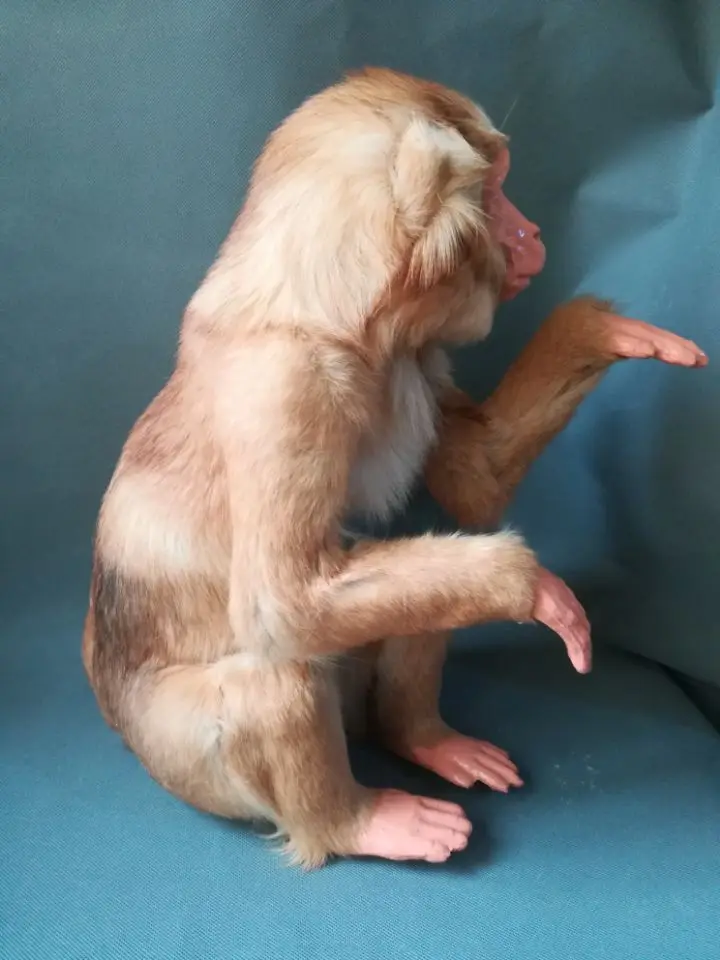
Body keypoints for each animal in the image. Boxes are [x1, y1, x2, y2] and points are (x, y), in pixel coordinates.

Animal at [82, 67, 707, 869]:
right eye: (495, 191)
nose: (533, 233)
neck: (342, 326)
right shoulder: (283, 388)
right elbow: (282, 605)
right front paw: (537, 587)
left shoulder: (417, 351)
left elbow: (475, 480)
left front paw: (597, 331)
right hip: (179, 756)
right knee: (278, 670)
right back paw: (353, 822)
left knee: (418, 592)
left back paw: (421, 738)